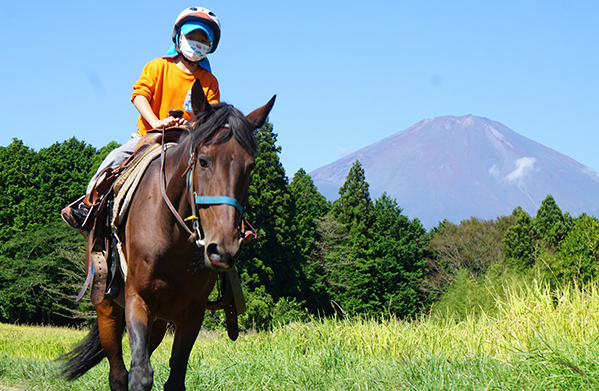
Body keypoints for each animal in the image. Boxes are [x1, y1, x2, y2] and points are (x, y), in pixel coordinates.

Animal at [61, 80, 276, 391]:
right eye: (203, 161)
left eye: (250, 167)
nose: (222, 248)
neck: (172, 237)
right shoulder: (137, 300)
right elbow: (139, 375)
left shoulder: (192, 312)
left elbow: (175, 378)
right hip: (107, 307)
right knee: (118, 374)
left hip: (160, 321)